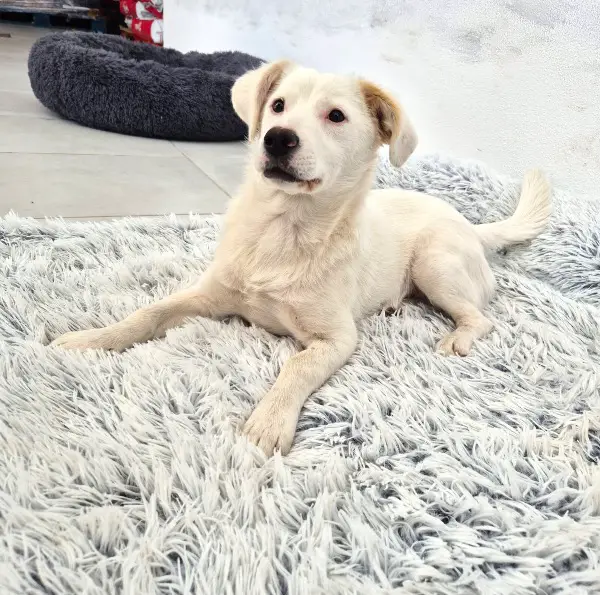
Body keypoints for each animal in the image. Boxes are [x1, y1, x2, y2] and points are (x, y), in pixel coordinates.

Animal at [52, 61, 552, 456]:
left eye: (336, 116)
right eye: (277, 105)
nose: (277, 139)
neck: (284, 230)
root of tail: (470, 223)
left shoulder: (336, 339)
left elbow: (296, 368)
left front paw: (268, 423)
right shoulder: (207, 296)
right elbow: (147, 313)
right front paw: (90, 340)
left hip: (435, 263)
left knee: (480, 317)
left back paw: (457, 337)